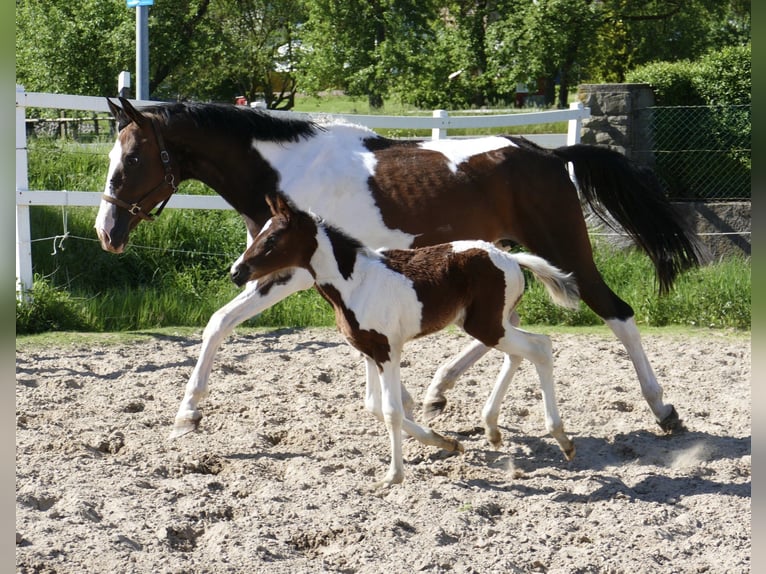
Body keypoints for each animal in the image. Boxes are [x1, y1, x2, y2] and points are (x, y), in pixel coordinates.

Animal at [96, 98, 704, 440]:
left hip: (564, 249)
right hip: (495, 253)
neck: (288, 172)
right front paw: (406, 403)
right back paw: (439, 386)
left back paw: (664, 410)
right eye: (111, 158)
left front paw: (187, 414)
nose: (108, 232)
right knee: (501, 324)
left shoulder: (288, 273)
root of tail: (552, 155)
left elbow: (218, 322)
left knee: (616, 313)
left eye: (132, 159)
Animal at [231, 195, 580, 490]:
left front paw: (393, 476)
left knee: (540, 347)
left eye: (272, 239)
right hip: (492, 324)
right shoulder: (368, 352)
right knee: (521, 353)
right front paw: (447, 442)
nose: (236, 272)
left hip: (487, 326)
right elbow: (373, 405)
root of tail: (509, 257)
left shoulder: (387, 351)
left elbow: (392, 411)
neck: (354, 282)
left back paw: (561, 438)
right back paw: (493, 430)